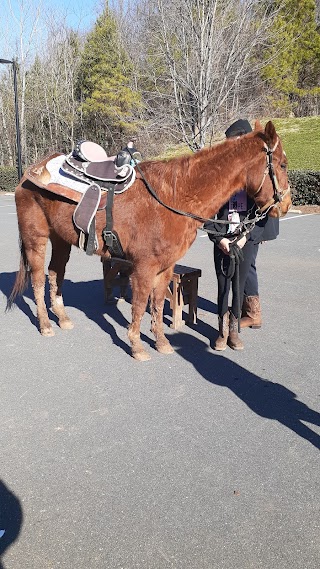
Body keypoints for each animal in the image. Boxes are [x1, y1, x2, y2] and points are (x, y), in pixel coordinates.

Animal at [8, 120, 292, 360]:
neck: (175, 196)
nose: (286, 204)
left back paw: (63, 318)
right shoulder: (144, 267)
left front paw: (161, 342)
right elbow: (140, 302)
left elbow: (156, 303)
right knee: (37, 278)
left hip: (61, 240)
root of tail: (30, 172)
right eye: (282, 164)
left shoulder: (165, 267)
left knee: (56, 273)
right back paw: (45, 324)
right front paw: (136, 345)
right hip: (36, 238)